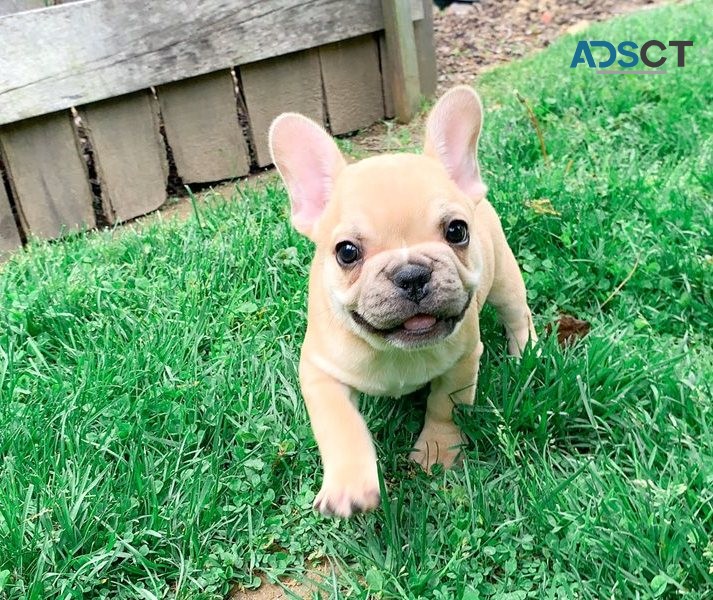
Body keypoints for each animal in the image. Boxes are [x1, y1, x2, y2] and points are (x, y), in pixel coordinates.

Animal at [270, 84, 536, 516]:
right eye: (347, 252)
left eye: (457, 231)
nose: (411, 274)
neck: (395, 350)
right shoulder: (320, 372)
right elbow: (340, 424)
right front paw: (348, 485)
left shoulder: (463, 362)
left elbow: (445, 406)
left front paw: (436, 452)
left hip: (504, 279)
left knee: (517, 313)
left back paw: (526, 351)